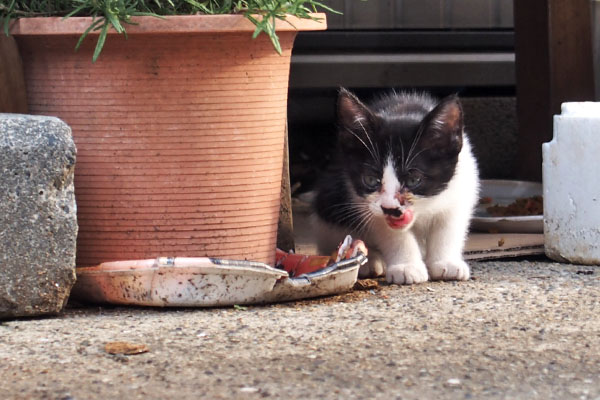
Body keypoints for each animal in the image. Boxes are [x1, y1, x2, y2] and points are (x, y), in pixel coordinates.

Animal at [314, 88, 478, 284]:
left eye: (414, 180)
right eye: (371, 180)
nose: (390, 208)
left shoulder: (461, 186)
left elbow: (448, 225)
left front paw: (445, 262)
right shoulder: (364, 204)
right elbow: (391, 233)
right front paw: (407, 266)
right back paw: (368, 260)